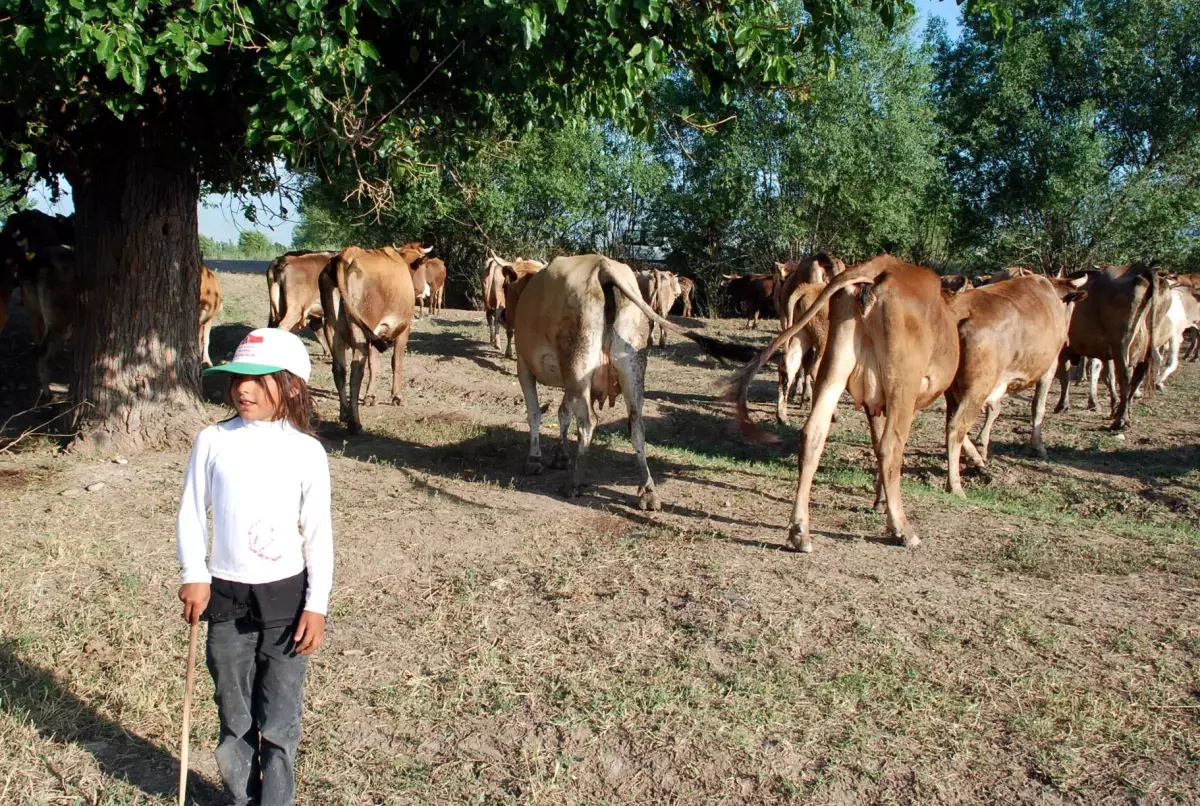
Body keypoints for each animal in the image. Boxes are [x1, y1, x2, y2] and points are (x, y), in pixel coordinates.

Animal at [319, 243, 422, 434]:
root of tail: (348, 253)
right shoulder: (403, 330)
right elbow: (396, 362)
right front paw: (397, 397)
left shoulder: (376, 334)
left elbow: (374, 363)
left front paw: (370, 397)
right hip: (360, 328)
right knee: (356, 371)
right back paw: (355, 423)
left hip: (332, 327)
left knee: (339, 370)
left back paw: (344, 414)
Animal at [720, 257, 964, 554]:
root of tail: (881, 266)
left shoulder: (874, 404)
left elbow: (874, 443)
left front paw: (879, 502)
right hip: (901, 383)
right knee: (890, 447)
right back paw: (903, 530)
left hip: (835, 366)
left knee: (813, 432)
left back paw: (800, 532)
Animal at [940, 273, 1094, 494]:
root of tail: (959, 311)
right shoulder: (1048, 367)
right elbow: (1038, 408)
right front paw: (1038, 446)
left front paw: (981, 448)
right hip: (977, 387)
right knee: (956, 427)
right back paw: (955, 484)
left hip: (954, 387)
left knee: (950, 422)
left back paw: (975, 458)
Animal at [1051, 262, 1161, 426]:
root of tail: (1141, 269)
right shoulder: (1105, 352)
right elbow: (1108, 377)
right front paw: (1113, 406)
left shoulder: (1064, 351)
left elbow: (1065, 376)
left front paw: (1062, 405)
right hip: (1141, 349)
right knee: (1137, 376)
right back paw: (1125, 412)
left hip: (1121, 346)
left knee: (1126, 376)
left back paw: (1120, 420)